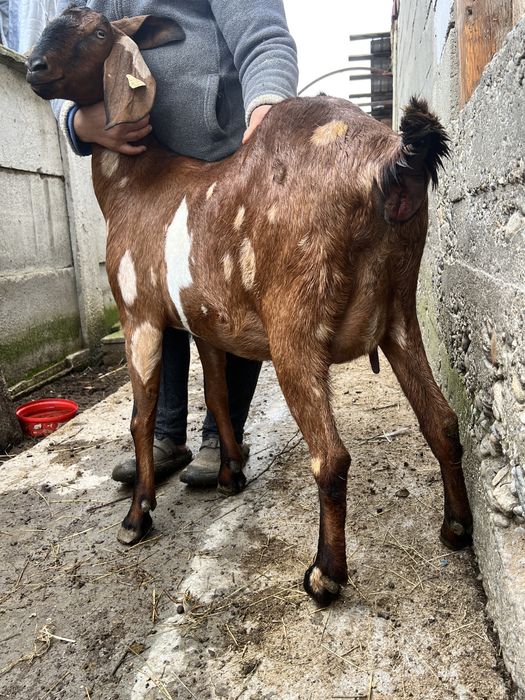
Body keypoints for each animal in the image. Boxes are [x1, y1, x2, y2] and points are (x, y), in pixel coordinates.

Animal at [27, 7, 472, 605]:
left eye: (97, 32)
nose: (35, 68)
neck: (135, 186)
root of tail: (386, 160)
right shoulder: (207, 321)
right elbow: (217, 394)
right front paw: (230, 474)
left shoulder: (139, 315)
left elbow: (141, 417)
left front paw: (137, 517)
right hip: (400, 310)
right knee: (441, 420)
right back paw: (456, 528)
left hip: (294, 323)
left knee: (331, 457)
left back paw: (326, 575)